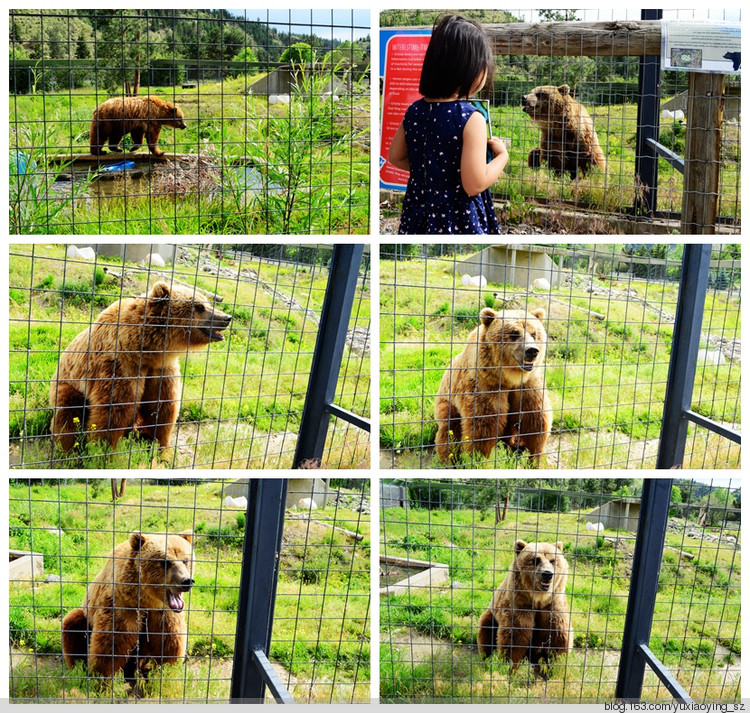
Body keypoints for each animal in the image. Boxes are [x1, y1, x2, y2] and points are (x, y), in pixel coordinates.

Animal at [50, 280, 232, 454]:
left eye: (207, 303)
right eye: (200, 307)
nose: (227, 318)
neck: (144, 349)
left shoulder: (161, 369)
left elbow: (163, 408)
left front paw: (162, 450)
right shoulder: (120, 365)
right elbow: (113, 411)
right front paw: (102, 452)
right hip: (68, 385)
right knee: (67, 413)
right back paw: (67, 450)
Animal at [62, 528, 197, 684]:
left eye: (185, 560)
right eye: (165, 562)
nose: (186, 581)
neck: (146, 600)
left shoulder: (163, 613)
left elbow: (169, 645)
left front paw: (165, 676)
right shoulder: (122, 607)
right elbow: (111, 646)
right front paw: (102, 680)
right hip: (85, 617)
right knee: (72, 625)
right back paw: (79, 669)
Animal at [434, 304, 552, 462]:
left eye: (534, 334)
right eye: (514, 333)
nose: (532, 351)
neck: (509, 378)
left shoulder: (528, 385)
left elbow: (535, 421)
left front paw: (535, 458)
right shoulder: (486, 385)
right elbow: (483, 426)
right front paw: (478, 459)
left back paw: (514, 444)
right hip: (447, 402)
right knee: (449, 430)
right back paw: (450, 458)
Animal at [478, 540, 572, 672]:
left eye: (553, 560)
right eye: (536, 559)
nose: (547, 574)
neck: (538, 599)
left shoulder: (552, 606)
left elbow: (558, 637)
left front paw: (557, 667)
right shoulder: (520, 605)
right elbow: (515, 637)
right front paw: (510, 667)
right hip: (492, 614)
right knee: (485, 628)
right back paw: (486, 658)